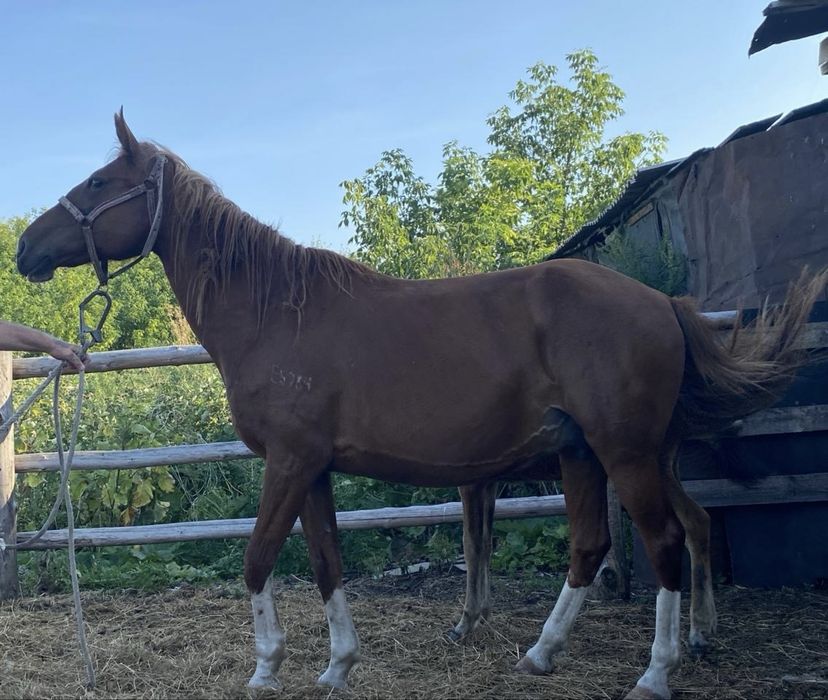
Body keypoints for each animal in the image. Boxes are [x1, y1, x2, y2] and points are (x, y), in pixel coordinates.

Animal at [17, 111, 825, 699]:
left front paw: (266, 666)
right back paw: (541, 654)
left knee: (664, 544)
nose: (26, 247)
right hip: (581, 454)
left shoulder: (288, 462)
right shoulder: (313, 469)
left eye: (99, 180)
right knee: (592, 547)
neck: (276, 313)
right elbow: (326, 561)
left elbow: (256, 558)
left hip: (626, 454)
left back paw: (655, 673)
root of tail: (662, 302)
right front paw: (337, 664)